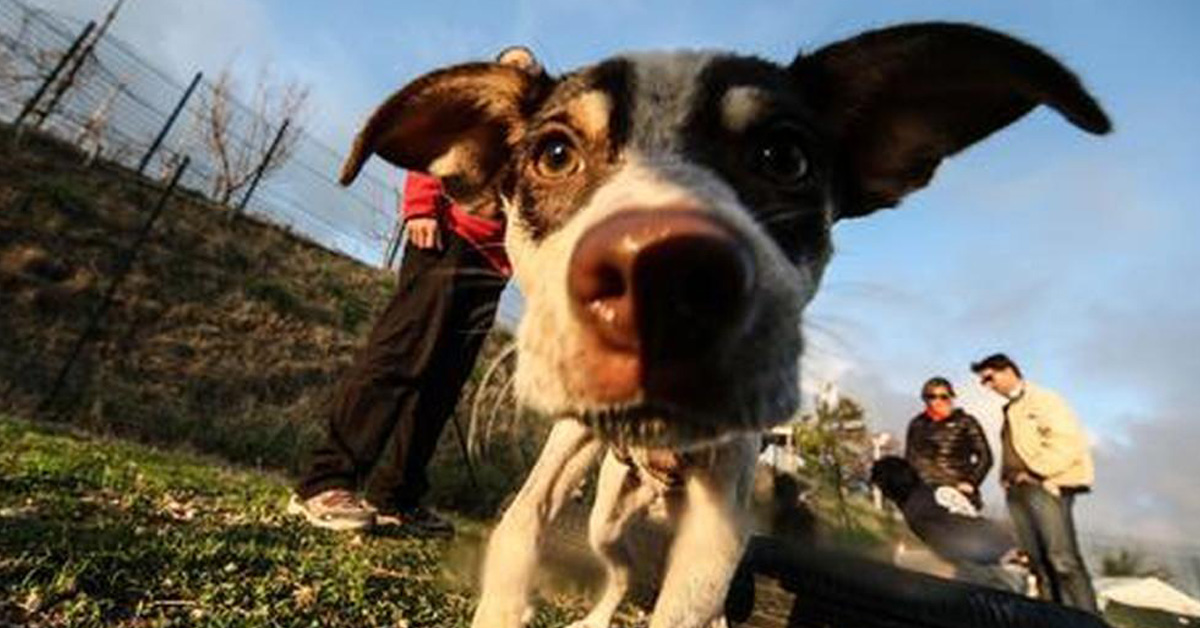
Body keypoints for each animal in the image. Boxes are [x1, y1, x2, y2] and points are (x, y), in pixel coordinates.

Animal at [336, 24, 1104, 628]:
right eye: (553, 154)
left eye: (785, 158)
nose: (661, 275)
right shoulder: (569, 445)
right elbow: (520, 528)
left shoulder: (718, 526)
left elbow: (685, 607)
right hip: (608, 516)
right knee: (615, 571)